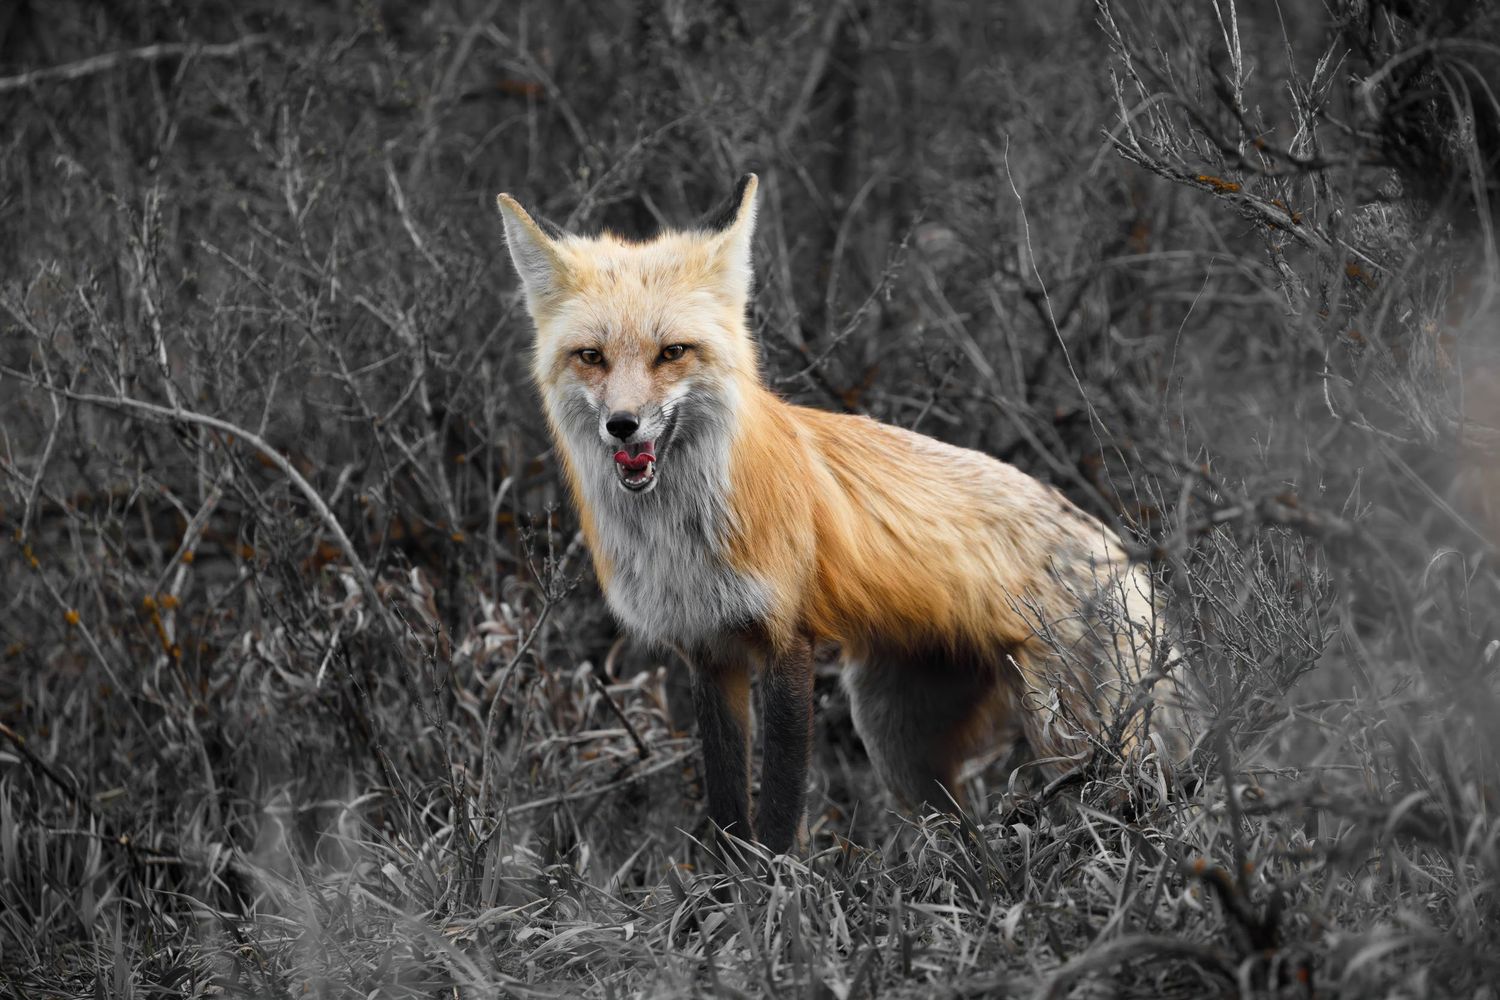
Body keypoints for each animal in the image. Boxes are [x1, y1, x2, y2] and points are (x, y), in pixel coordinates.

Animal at [495, 175, 1189, 854]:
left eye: (672, 352)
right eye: (591, 356)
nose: (623, 425)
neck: (680, 540)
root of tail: (1123, 554)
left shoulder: (786, 638)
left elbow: (778, 814)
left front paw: (776, 888)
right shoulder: (706, 649)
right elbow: (726, 815)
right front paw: (728, 891)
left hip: (1073, 744)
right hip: (897, 744)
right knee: (966, 843)